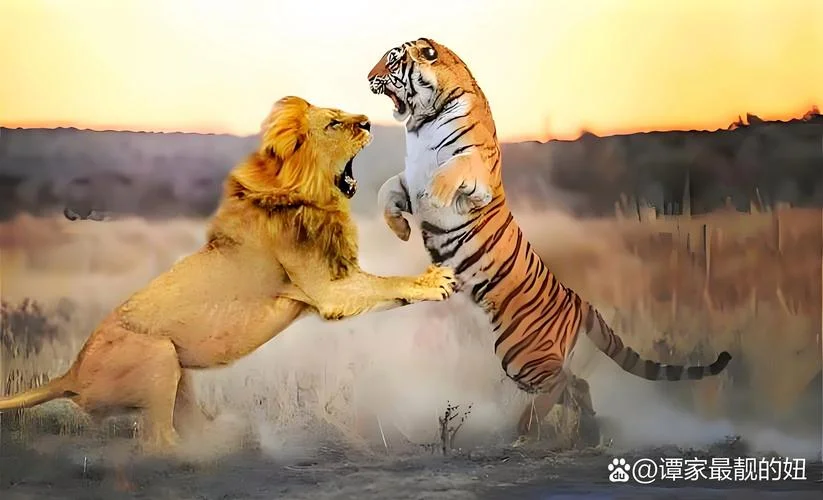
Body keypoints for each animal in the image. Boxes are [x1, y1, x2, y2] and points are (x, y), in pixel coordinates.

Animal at [366, 37, 732, 440]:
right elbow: (386, 190)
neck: (422, 123)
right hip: (526, 361)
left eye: (392, 60)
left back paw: (525, 430)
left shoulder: (475, 176)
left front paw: (430, 205)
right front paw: (401, 228)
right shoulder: (408, 176)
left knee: (562, 385)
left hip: (521, 354)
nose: (368, 77)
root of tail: (578, 300)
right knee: (576, 385)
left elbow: (447, 176)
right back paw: (586, 430)